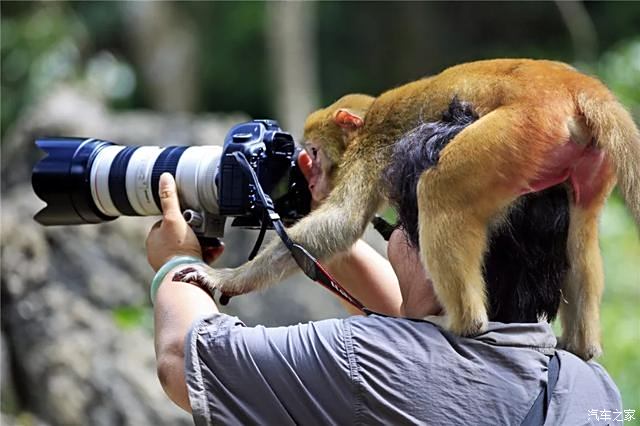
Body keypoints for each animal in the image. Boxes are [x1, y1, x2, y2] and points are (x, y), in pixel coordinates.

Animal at [175, 59, 640, 360]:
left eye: (312, 153)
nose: (310, 178)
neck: (366, 126)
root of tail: (574, 87)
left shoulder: (370, 154)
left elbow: (342, 222)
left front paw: (228, 278)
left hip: (520, 132)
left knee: (439, 191)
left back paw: (465, 324)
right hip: (584, 163)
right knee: (581, 234)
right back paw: (581, 347)